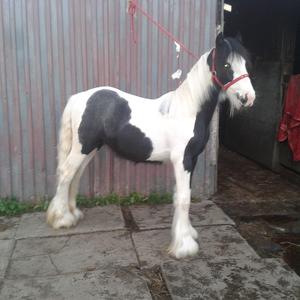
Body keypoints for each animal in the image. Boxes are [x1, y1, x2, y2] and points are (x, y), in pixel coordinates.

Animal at [46, 32, 255, 258]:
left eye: (246, 64)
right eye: (226, 64)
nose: (248, 98)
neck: (188, 110)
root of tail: (77, 98)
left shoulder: (192, 160)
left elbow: (182, 195)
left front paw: (186, 233)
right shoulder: (182, 160)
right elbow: (184, 198)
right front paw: (184, 246)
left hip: (90, 148)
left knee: (75, 175)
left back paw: (73, 213)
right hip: (82, 148)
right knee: (66, 173)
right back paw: (61, 219)